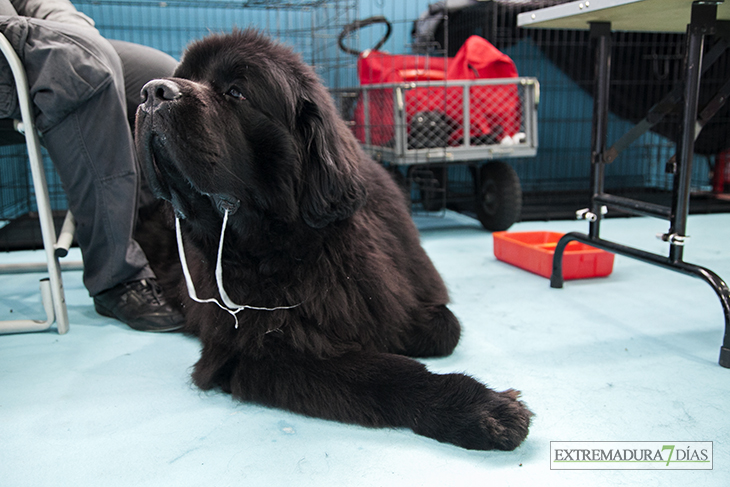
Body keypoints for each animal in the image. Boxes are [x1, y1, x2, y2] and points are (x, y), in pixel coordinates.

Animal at [134, 28, 528, 452]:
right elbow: (382, 374)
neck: (305, 245)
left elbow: (444, 328)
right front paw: (483, 408)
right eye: (183, 76)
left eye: (236, 92)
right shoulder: (254, 352)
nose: (153, 91)